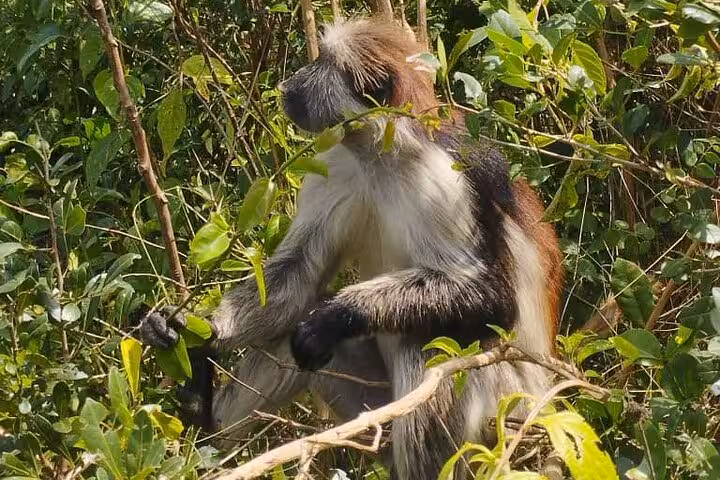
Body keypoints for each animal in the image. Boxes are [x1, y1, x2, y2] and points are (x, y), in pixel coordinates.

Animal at [140, 17, 564, 479]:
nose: (289, 83)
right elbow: (299, 274)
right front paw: (197, 333)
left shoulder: (447, 180)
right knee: (300, 324)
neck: (380, 155)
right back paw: (206, 419)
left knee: (427, 339)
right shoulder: (336, 163)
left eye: (321, 65)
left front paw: (340, 313)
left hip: (507, 408)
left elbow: (496, 300)